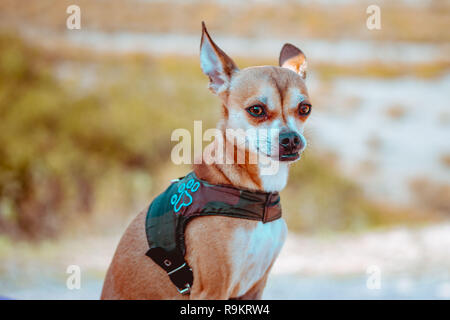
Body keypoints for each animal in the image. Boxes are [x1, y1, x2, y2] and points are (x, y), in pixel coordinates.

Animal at [101, 23, 312, 300]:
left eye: (305, 108)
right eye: (256, 110)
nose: (292, 139)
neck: (255, 195)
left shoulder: (255, 287)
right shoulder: (211, 289)